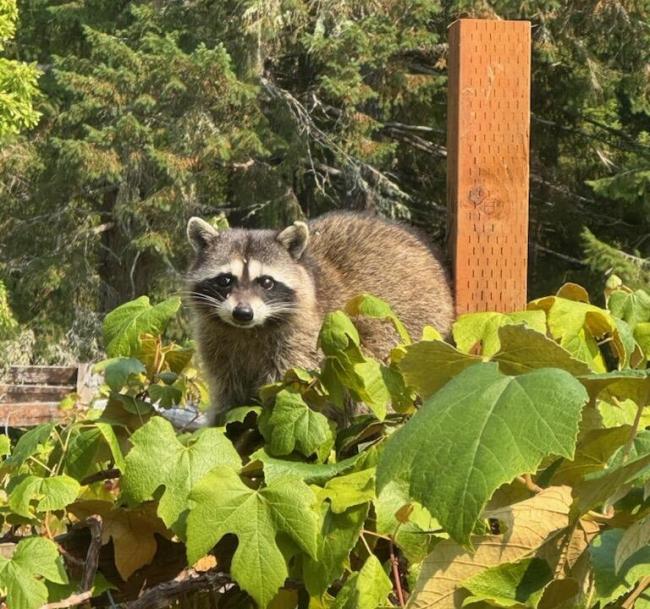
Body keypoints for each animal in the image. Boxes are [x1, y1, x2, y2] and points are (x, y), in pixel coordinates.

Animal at [185, 212, 454, 418]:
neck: (250, 331)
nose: (243, 313)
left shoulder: (305, 340)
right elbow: (228, 392)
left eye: (266, 282)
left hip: (414, 326)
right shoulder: (216, 343)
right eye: (225, 280)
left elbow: (288, 388)